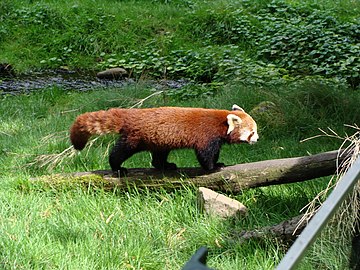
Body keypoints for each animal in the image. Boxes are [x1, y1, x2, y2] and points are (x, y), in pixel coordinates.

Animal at [69, 103, 258, 175]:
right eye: (252, 131)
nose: (257, 139)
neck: (221, 123)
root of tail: (131, 115)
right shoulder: (206, 136)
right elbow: (204, 154)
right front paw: (213, 167)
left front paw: (218, 163)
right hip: (135, 138)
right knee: (120, 152)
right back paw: (117, 167)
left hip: (159, 141)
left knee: (159, 156)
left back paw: (165, 165)